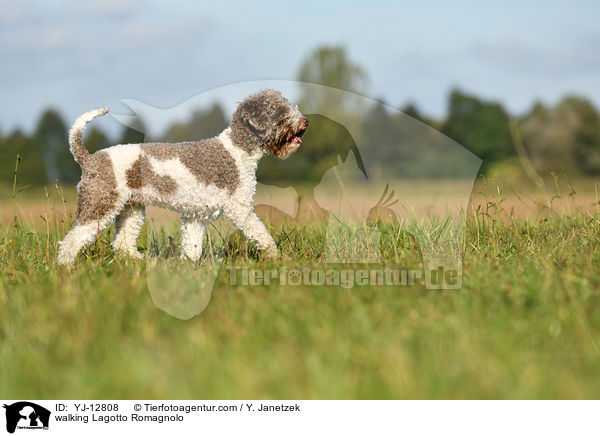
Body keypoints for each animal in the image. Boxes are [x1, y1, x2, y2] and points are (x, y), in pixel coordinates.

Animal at [58, 90, 310, 264]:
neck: (236, 150)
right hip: (100, 205)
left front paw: (187, 268)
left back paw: (139, 262)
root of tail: (89, 158)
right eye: (280, 112)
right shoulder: (239, 209)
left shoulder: (195, 216)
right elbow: (260, 233)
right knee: (73, 239)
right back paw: (67, 267)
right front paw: (275, 257)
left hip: (131, 208)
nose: (306, 121)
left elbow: (192, 245)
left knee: (122, 243)